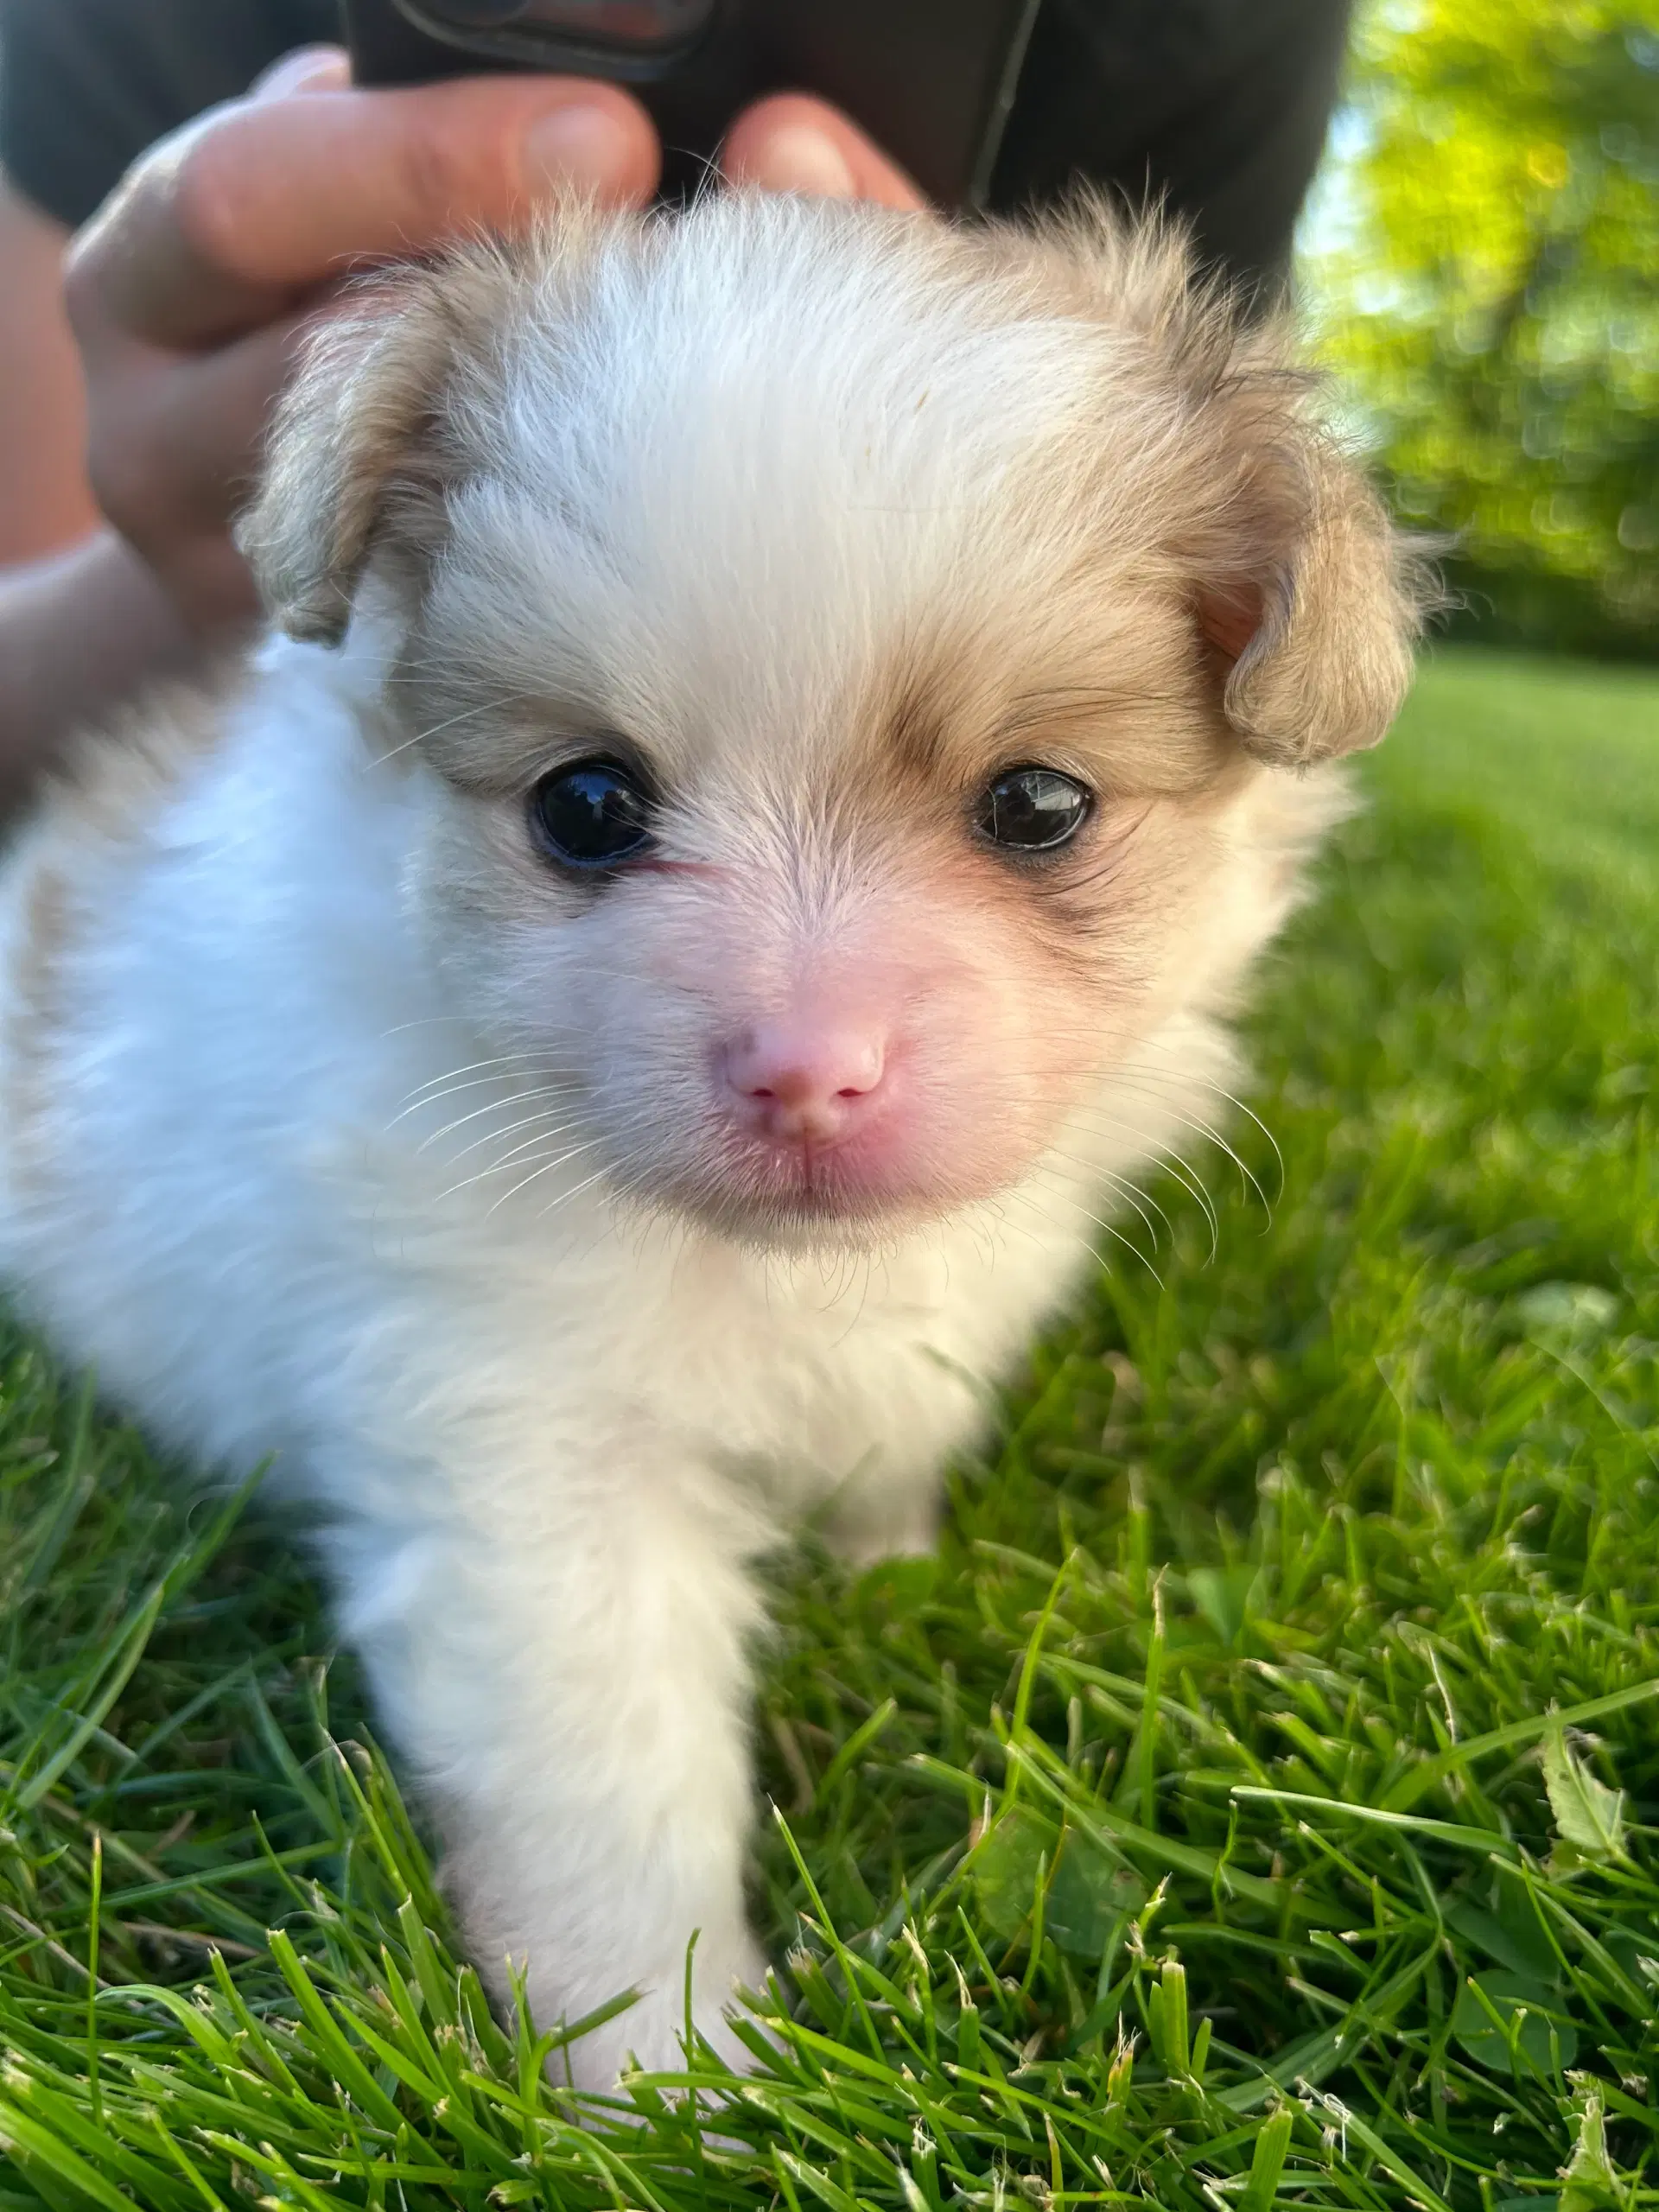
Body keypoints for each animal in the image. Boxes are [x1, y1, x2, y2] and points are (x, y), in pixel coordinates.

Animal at [0, 190, 1433, 2088]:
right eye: (587, 806)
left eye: (1038, 803)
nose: (808, 1069)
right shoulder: (526, 1461)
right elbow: (608, 1782)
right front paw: (671, 2073)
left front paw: (889, 1568)